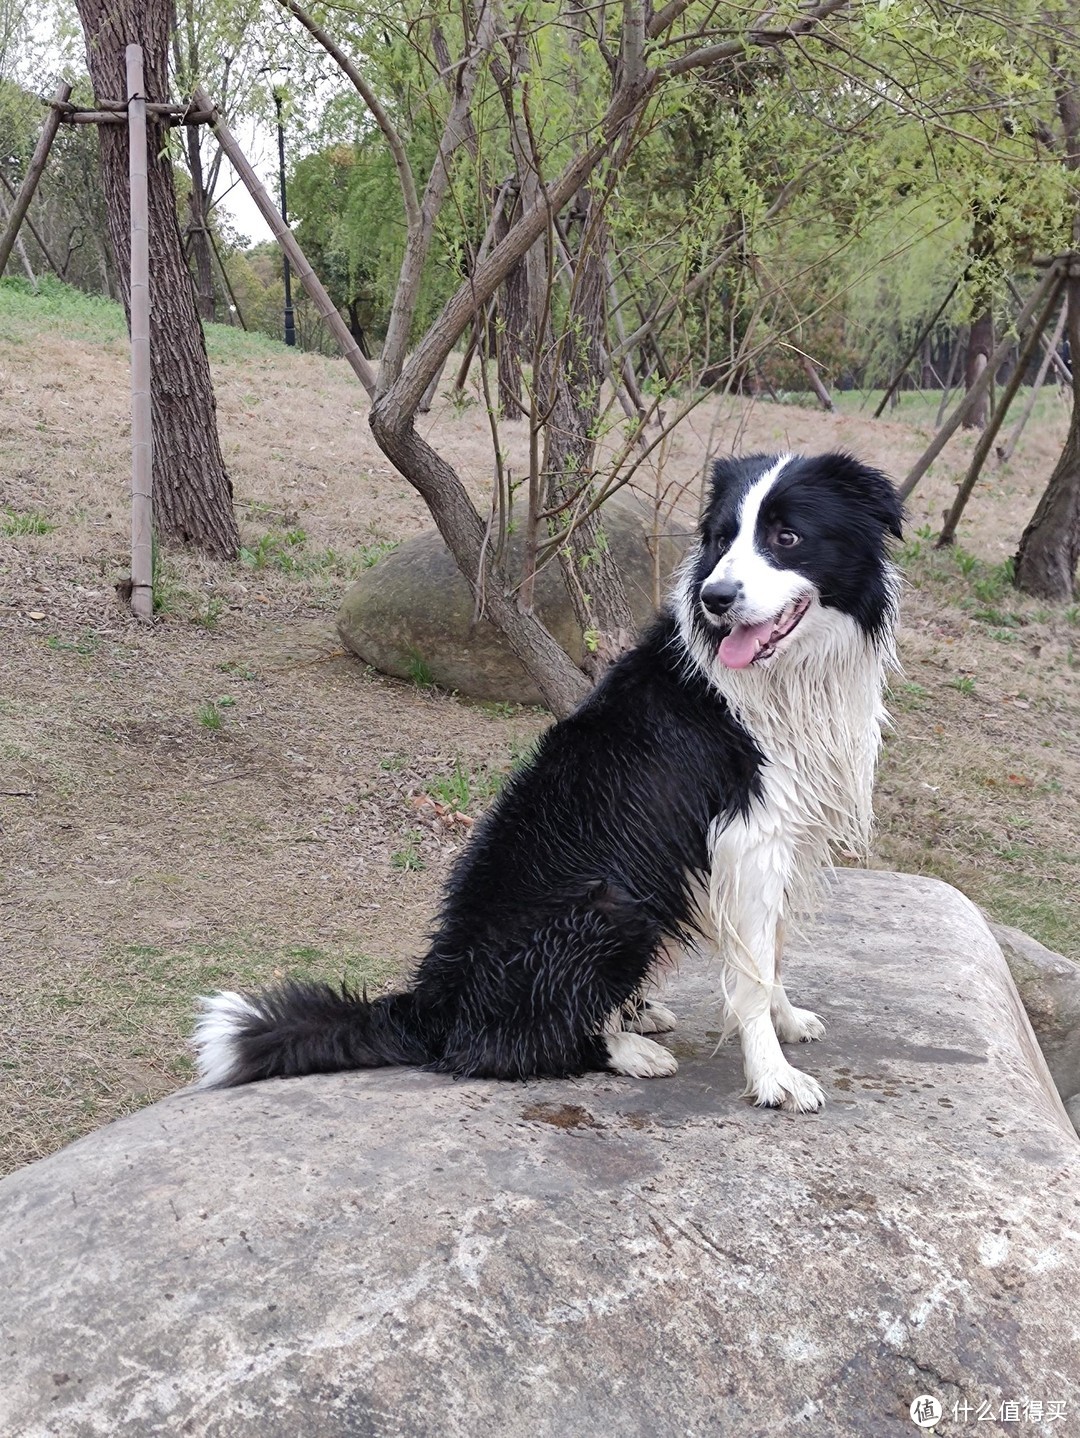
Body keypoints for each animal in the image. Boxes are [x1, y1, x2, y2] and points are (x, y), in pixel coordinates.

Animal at [194, 448, 903, 1110]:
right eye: (723, 538)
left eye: (786, 536)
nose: (716, 598)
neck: (787, 675)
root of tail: (435, 1007)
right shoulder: (746, 836)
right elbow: (752, 971)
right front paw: (773, 1077)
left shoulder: (784, 832)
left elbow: (772, 948)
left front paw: (785, 1022)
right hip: (616, 905)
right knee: (509, 1046)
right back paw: (626, 1047)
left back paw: (633, 1014)